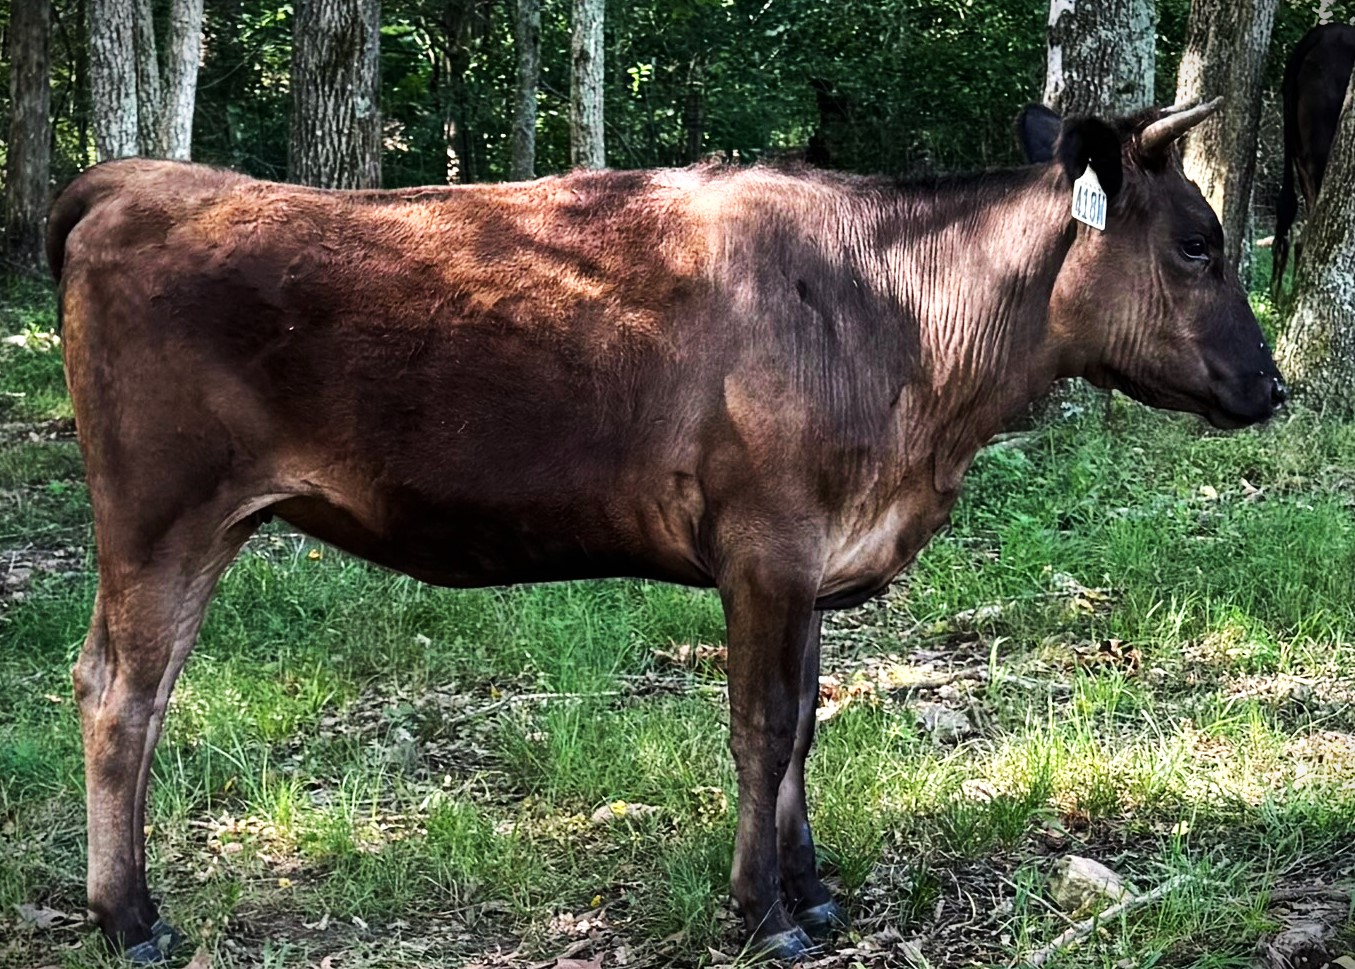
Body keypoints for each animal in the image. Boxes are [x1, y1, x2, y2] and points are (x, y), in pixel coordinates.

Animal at [47, 98, 1284, 964]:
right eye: (1196, 244)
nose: (1273, 386)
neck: (892, 323)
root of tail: (135, 179)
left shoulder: (813, 555)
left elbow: (805, 724)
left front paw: (813, 890)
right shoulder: (764, 546)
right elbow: (761, 726)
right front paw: (762, 913)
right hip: (160, 516)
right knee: (120, 691)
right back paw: (131, 918)